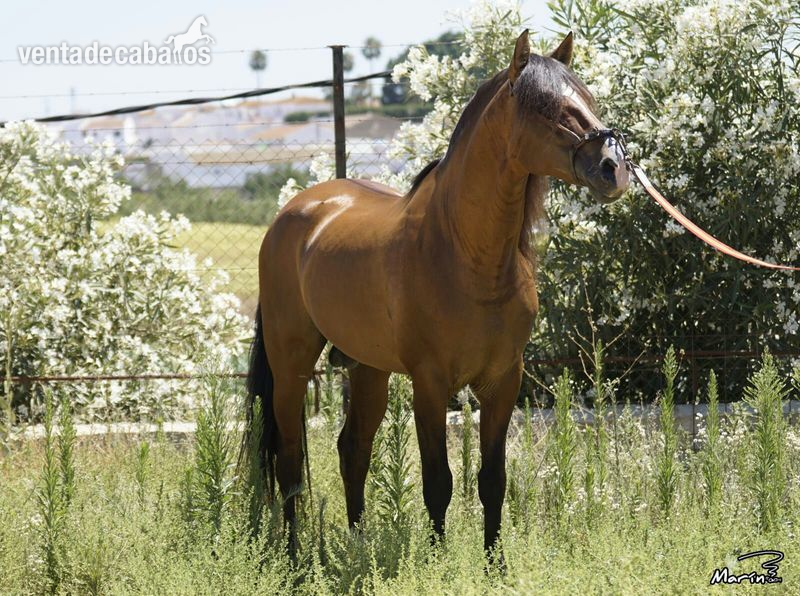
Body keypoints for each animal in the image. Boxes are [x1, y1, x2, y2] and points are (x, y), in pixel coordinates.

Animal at [241, 30, 629, 556]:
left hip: (368, 368)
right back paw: (294, 556)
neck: (470, 258)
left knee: (353, 448)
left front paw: (494, 564)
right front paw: (438, 561)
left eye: (587, 99)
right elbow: (438, 482)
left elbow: (492, 481)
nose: (615, 168)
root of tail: (294, 212)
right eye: (547, 106)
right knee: (288, 459)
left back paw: (358, 546)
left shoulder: (503, 381)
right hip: (291, 363)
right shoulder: (429, 383)